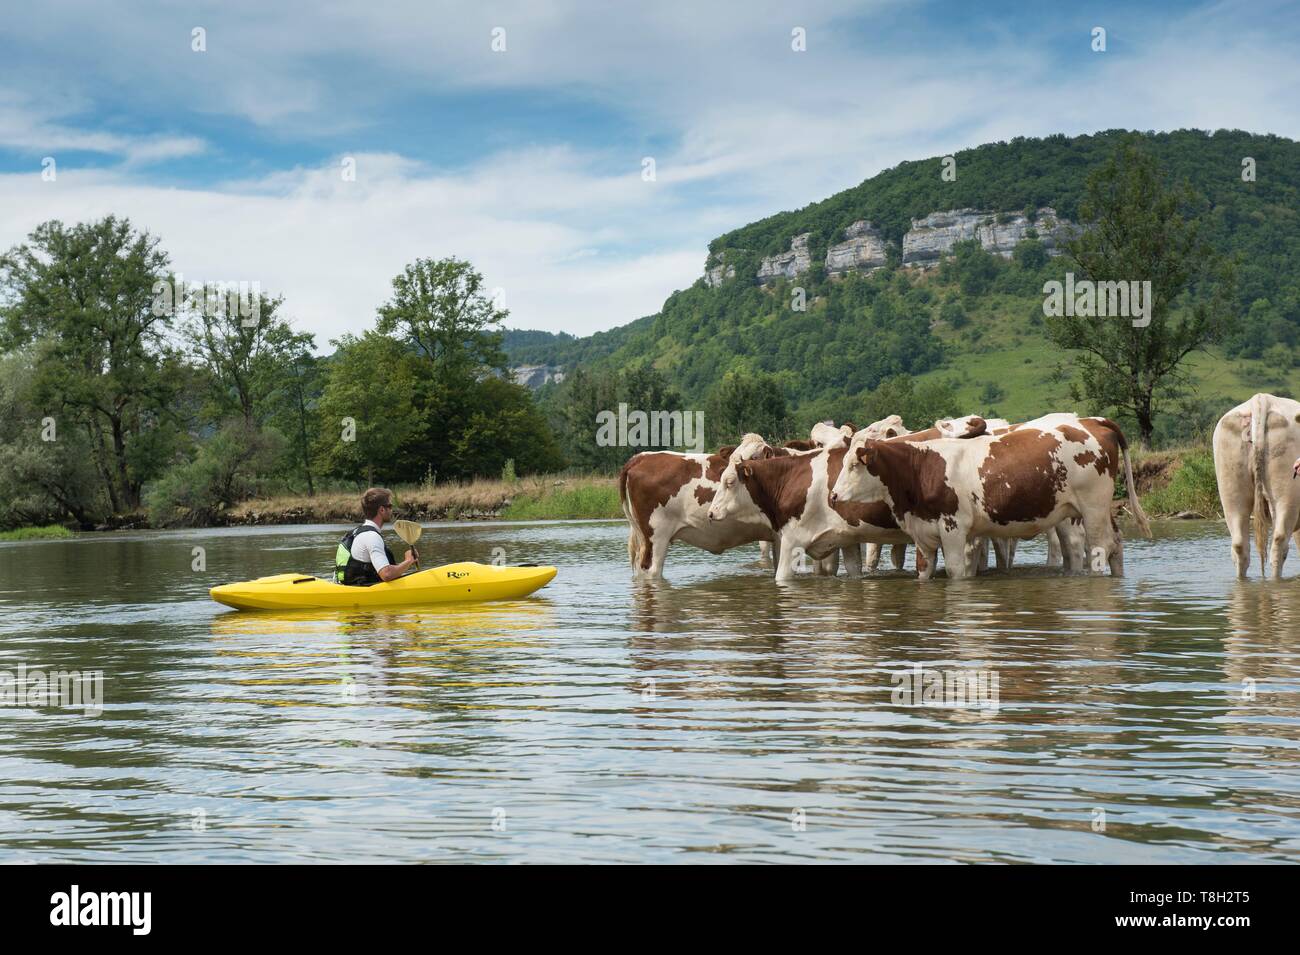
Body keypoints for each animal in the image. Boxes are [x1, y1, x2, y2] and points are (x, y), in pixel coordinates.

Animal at [826, 413, 1154, 579]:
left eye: (854, 464)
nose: (833, 495)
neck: (923, 467)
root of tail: (1092, 421)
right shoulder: (923, 532)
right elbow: (923, 572)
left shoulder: (954, 530)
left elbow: (957, 571)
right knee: (1115, 544)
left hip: (1091, 507)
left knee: (1097, 547)